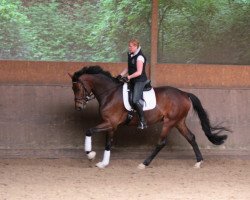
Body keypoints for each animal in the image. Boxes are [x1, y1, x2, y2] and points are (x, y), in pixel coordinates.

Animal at [68, 65, 229, 169]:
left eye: (77, 88)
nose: (78, 107)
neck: (110, 93)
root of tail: (184, 93)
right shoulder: (111, 125)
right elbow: (108, 143)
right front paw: (103, 163)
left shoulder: (110, 122)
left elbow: (89, 131)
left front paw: (90, 154)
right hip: (179, 122)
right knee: (191, 137)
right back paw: (198, 162)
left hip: (169, 122)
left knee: (161, 142)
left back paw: (144, 163)